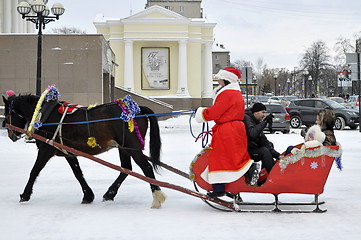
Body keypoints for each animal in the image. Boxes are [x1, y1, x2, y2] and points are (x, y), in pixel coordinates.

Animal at [1, 94, 166, 208]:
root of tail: (138, 110)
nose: (10, 134)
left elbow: (34, 171)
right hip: (124, 148)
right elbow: (78, 173)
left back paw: (157, 197)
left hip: (131, 147)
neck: (45, 116)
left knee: (146, 168)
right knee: (126, 169)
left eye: (8, 114)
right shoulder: (68, 152)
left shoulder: (46, 150)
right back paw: (109, 194)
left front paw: (25, 195)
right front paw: (88, 195)